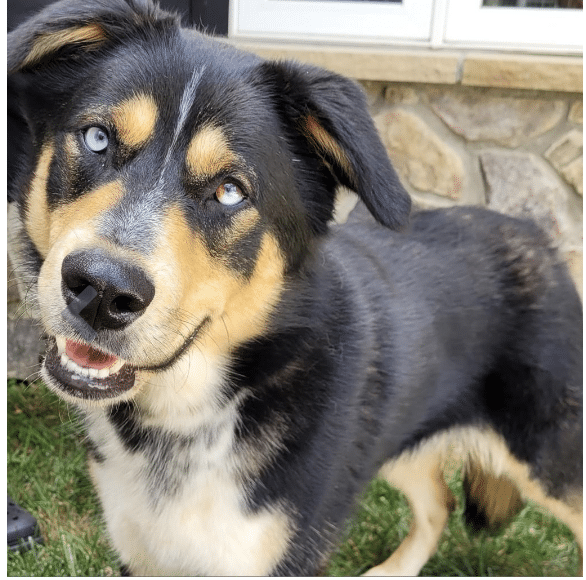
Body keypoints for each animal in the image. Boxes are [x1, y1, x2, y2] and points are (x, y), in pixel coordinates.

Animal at [8, 0, 580, 572]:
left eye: (231, 191)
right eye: (97, 139)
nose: (102, 291)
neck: (194, 411)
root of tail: (537, 236)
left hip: (552, 459)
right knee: (439, 500)